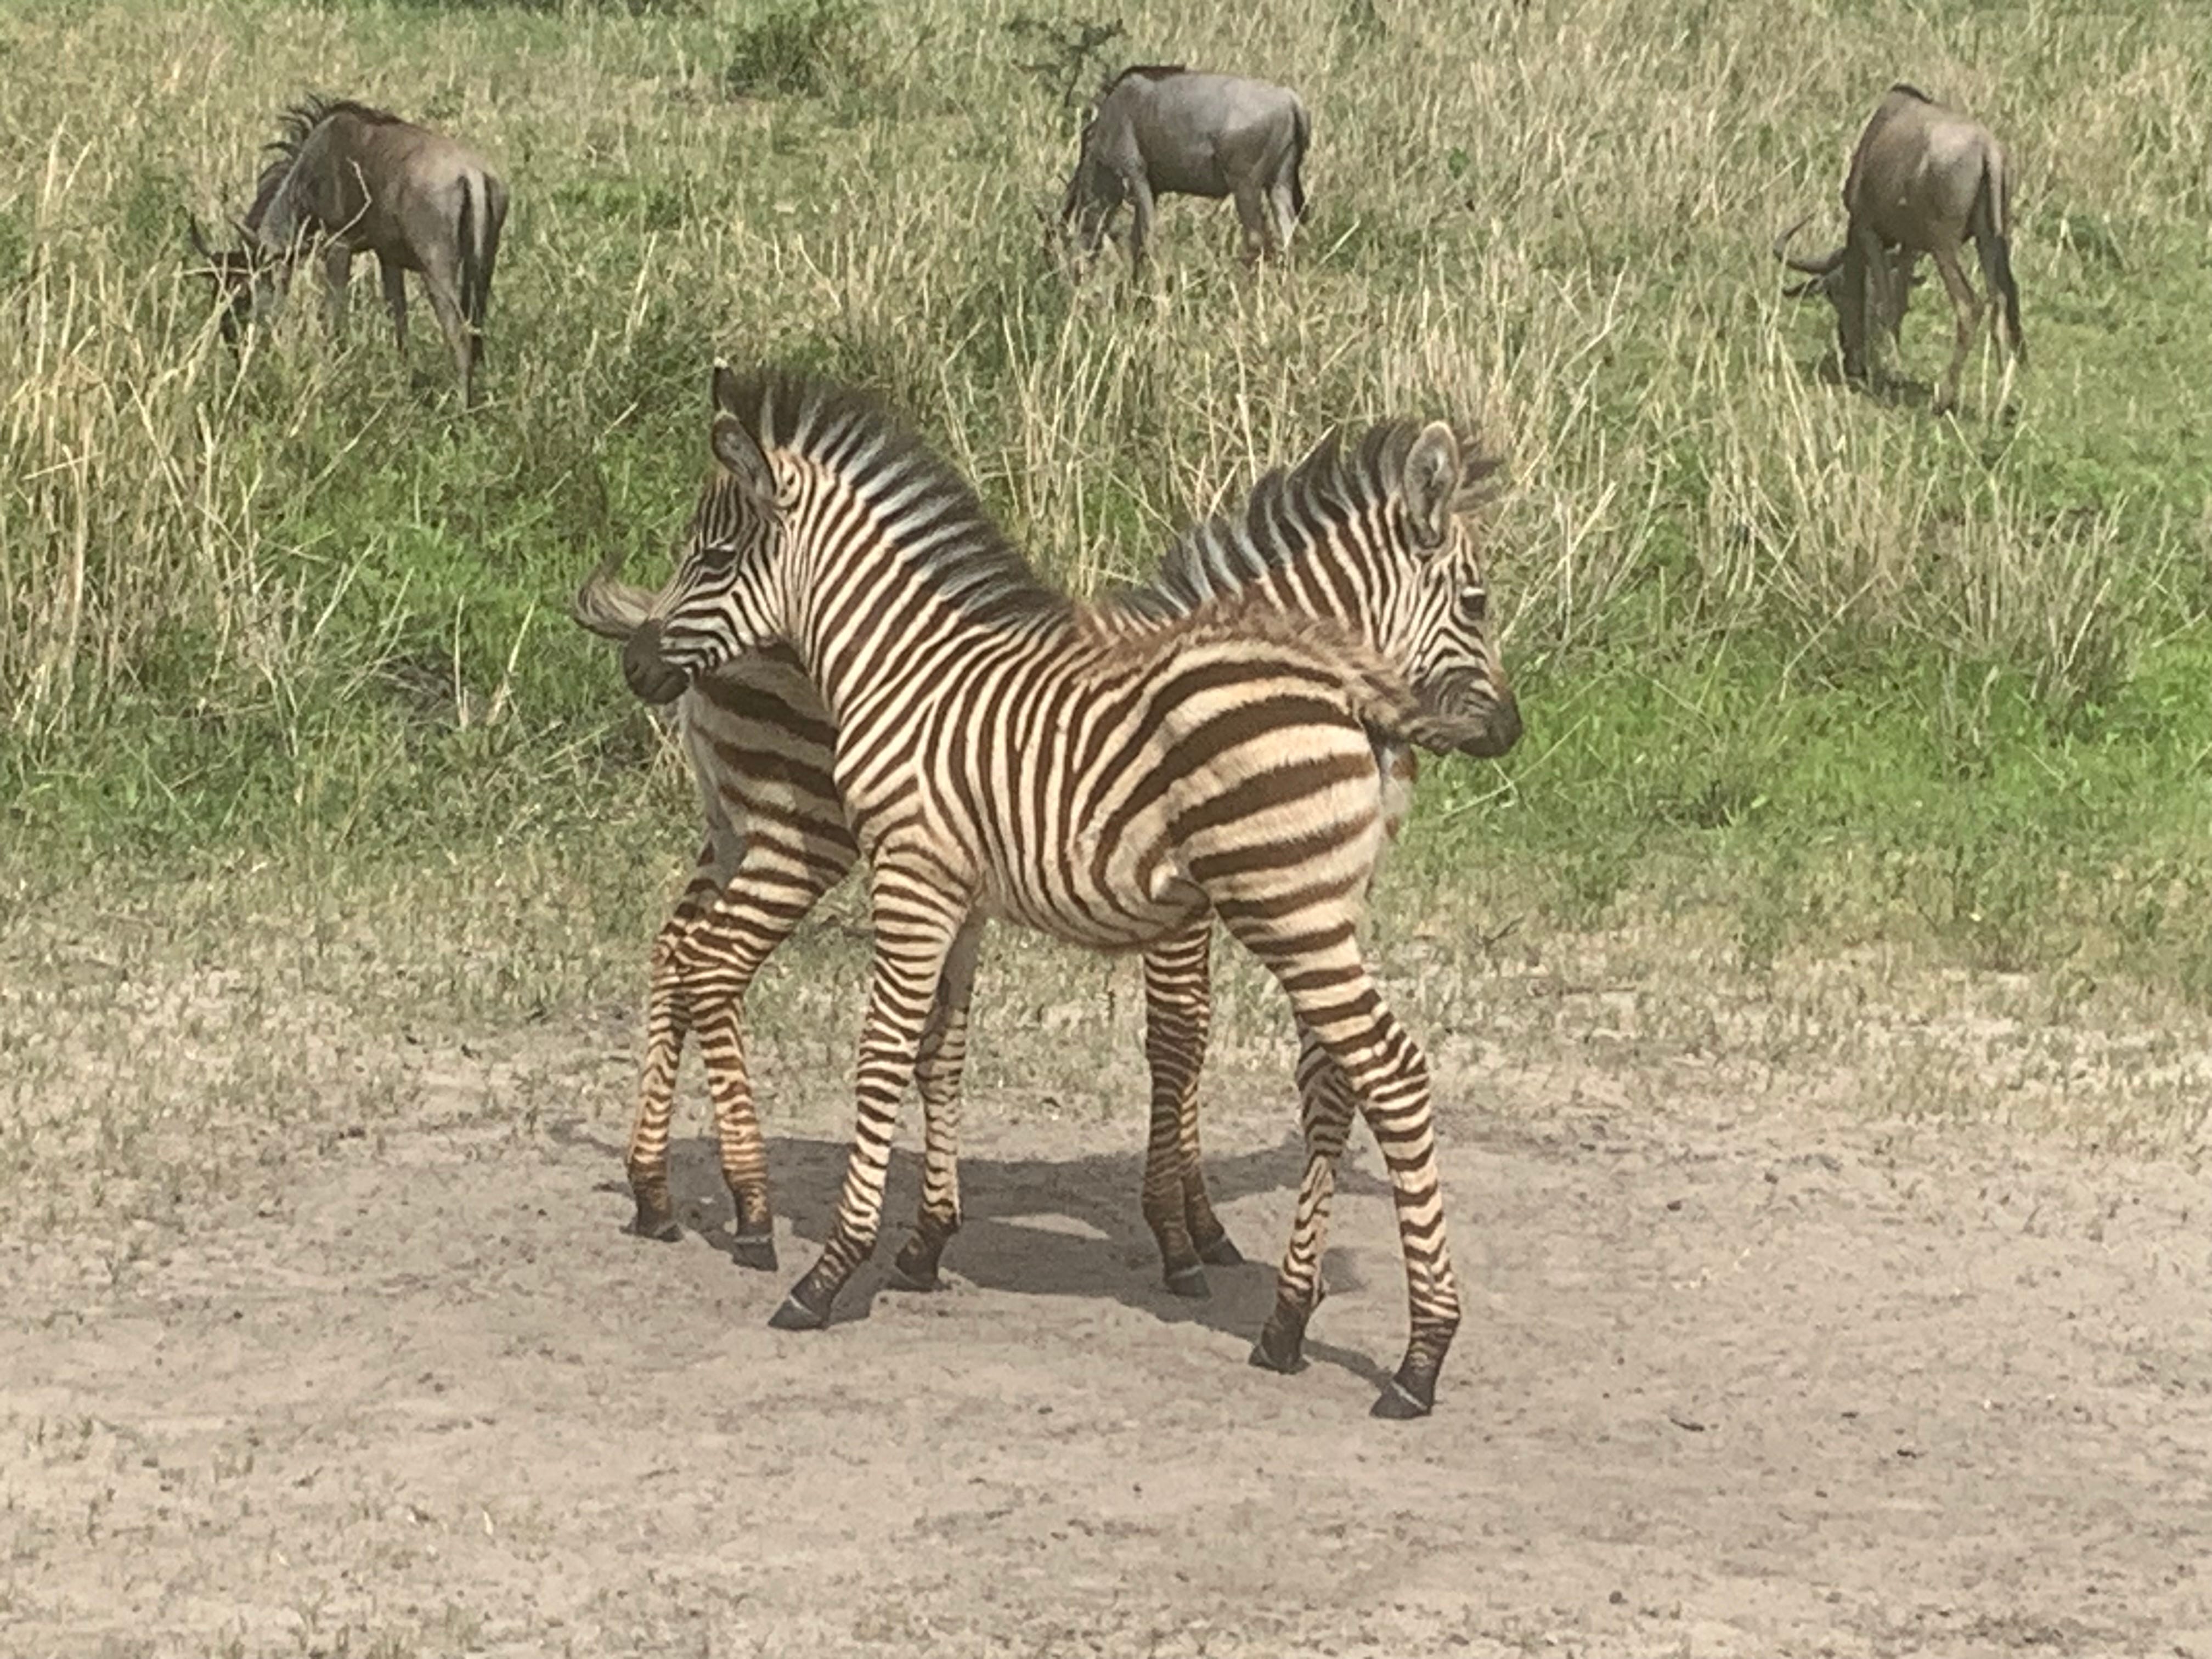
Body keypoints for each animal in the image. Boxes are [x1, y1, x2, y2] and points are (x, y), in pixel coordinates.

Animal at [605, 366, 1519, 1418]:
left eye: (713, 555)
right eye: (1477, 601)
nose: (636, 664)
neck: (904, 667)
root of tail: (1342, 685)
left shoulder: (935, 877)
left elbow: (907, 1056)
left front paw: (840, 1268)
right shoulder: (960, 884)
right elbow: (949, 1051)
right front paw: (936, 1243)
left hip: (1278, 908)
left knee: (1384, 1072)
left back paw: (1414, 1359)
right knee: (691, 958)